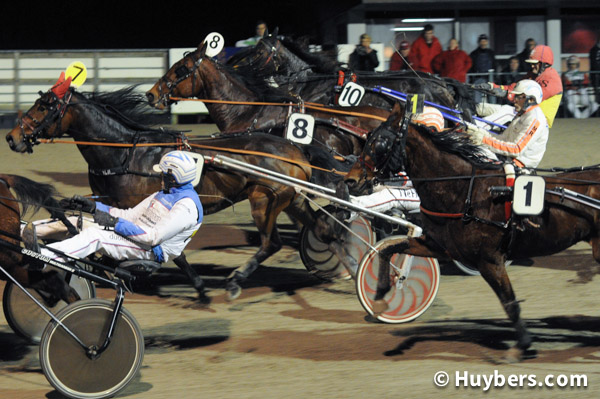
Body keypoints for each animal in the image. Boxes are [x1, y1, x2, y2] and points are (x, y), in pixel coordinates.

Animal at [344, 103, 600, 362]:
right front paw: (380, 299)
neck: (466, 191)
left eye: (380, 143)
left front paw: (521, 345)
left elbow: (509, 302)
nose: (350, 180)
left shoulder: (489, 260)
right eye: (368, 138)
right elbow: (388, 249)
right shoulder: (440, 246)